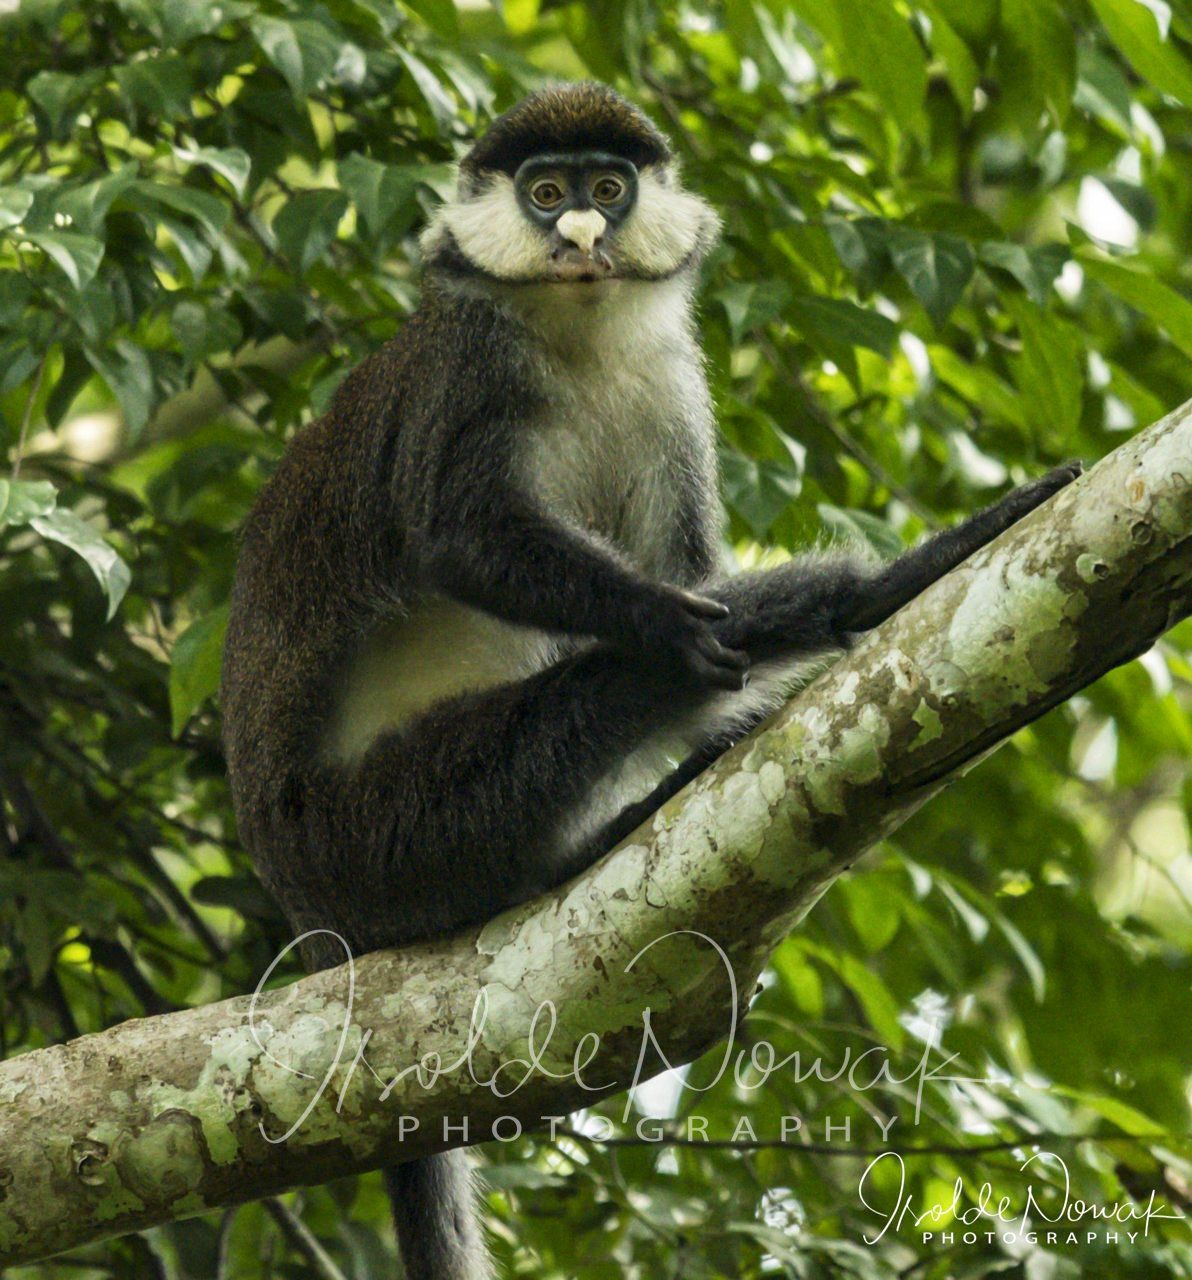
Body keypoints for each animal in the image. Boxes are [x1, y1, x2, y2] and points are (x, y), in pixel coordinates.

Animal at [221, 81, 1081, 1280]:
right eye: (544, 192)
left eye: (606, 186)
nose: (581, 232)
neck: (580, 338)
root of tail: (315, 918)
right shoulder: (463, 371)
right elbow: (463, 537)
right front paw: (673, 621)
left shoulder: (673, 393)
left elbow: (679, 554)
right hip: (384, 826)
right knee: (591, 702)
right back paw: (860, 602)